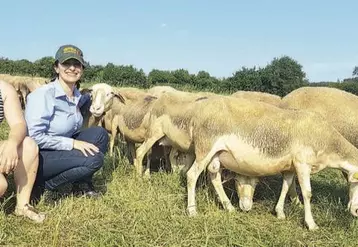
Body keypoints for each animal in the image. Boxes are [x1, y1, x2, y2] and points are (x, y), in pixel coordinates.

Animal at [185, 95, 358, 231]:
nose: (356, 212)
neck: (327, 142)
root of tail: (199, 110)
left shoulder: (290, 167)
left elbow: (286, 186)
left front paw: (280, 212)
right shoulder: (302, 164)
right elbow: (307, 193)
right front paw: (311, 224)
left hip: (216, 154)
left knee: (214, 176)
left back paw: (229, 207)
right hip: (205, 147)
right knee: (192, 175)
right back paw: (192, 211)